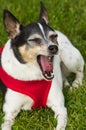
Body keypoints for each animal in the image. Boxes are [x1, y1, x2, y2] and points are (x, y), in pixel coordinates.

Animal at [0, 2, 84, 130]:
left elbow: (60, 126)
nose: (54, 47)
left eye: (53, 36)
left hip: (70, 58)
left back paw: (75, 84)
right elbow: (6, 125)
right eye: (34, 40)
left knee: (80, 70)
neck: (32, 74)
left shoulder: (60, 107)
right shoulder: (10, 110)